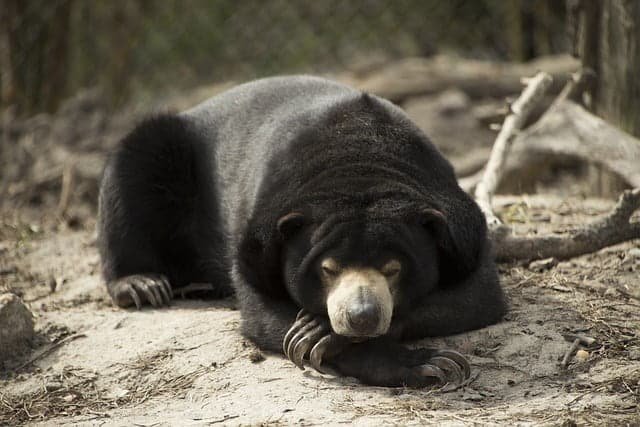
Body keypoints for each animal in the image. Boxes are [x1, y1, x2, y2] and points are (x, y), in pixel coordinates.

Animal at [96, 76, 504, 388]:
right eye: (328, 268)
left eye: (393, 268)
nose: (362, 316)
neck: (360, 162)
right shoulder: (257, 241)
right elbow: (265, 313)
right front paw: (427, 363)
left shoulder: (462, 234)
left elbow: (476, 296)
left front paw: (321, 331)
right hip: (167, 153)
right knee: (132, 170)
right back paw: (142, 284)